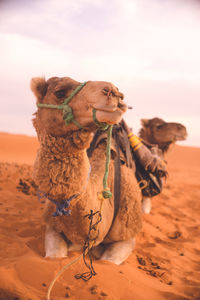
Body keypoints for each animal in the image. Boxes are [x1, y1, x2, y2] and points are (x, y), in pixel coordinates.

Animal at [30, 77, 142, 264]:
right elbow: (54, 257)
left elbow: (108, 262)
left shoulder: (128, 235)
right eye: (59, 92)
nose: (114, 92)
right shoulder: (53, 226)